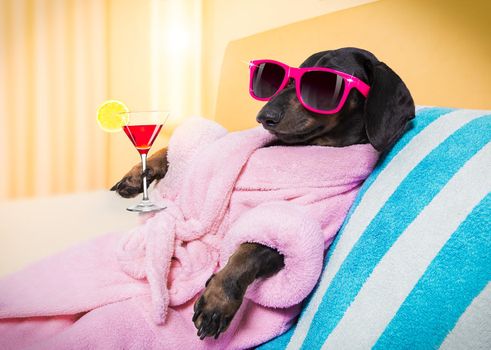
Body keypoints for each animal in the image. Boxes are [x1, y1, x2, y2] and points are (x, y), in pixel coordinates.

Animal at [112, 47, 416, 340]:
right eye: (286, 79)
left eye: (323, 84)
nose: (264, 116)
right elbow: (174, 151)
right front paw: (138, 173)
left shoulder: (298, 229)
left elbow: (250, 250)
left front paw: (218, 299)